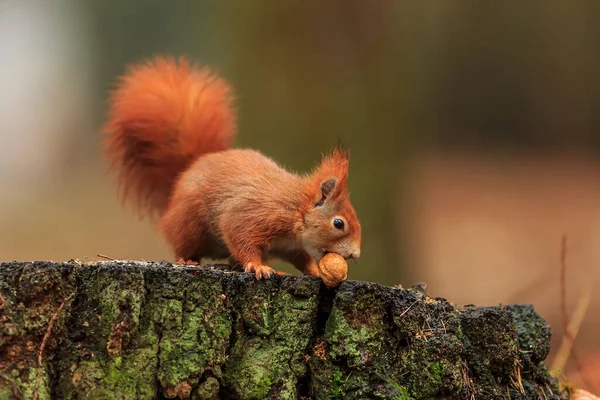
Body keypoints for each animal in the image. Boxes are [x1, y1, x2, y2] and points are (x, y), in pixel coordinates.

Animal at [102, 56, 360, 280]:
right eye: (339, 223)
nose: (355, 254)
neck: (296, 209)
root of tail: (190, 168)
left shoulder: (291, 246)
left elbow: (302, 259)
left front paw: (316, 272)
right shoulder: (256, 215)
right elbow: (240, 236)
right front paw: (257, 266)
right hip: (189, 223)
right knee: (183, 243)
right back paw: (187, 259)